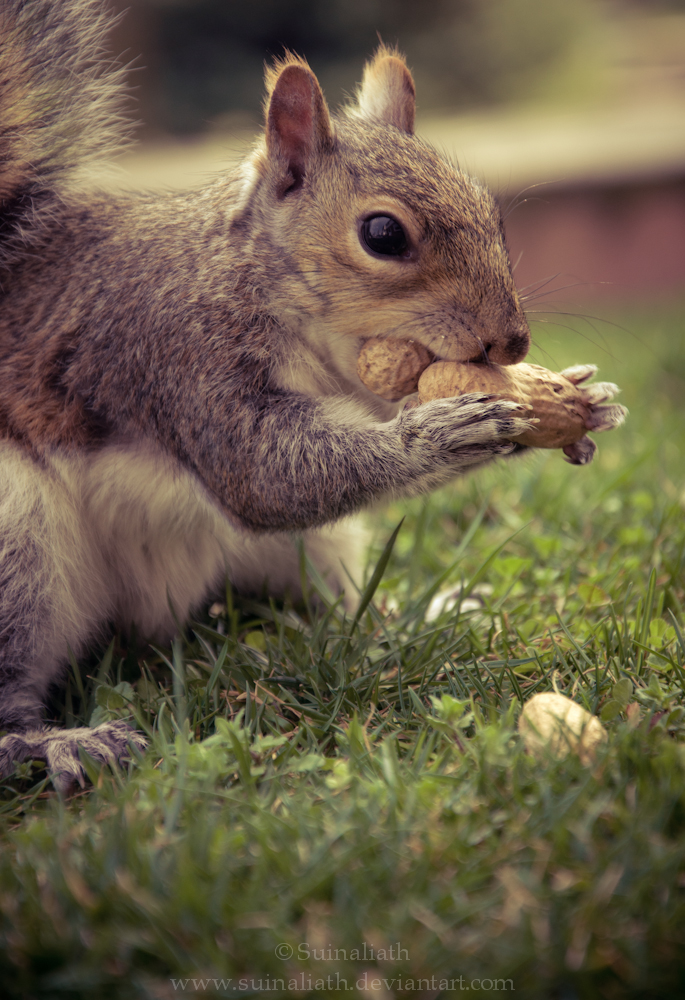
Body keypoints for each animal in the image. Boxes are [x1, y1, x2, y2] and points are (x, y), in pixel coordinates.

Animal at [0, 1, 624, 796]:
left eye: (493, 214)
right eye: (382, 234)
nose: (510, 344)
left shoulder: (364, 379)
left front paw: (578, 398)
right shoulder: (178, 357)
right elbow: (262, 472)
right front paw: (440, 436)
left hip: (311, 549)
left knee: (332, 601)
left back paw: (409, 609)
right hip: (16, 543)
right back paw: (55, 742)